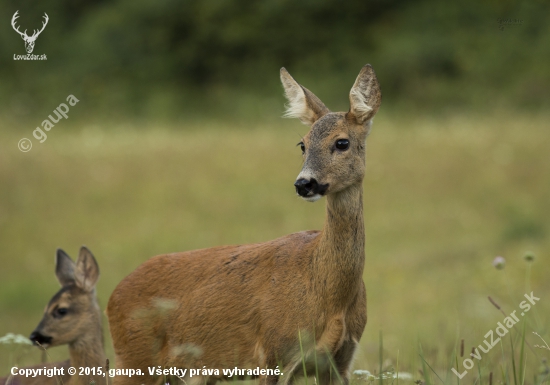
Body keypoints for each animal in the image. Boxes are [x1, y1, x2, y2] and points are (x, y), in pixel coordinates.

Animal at [108, 63, 384, 384]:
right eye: (302, 144)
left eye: (342, 142)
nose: (304, 184)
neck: (328, 293)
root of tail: (112, 297)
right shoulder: (274, 353)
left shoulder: (341, 361)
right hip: (133, 359)